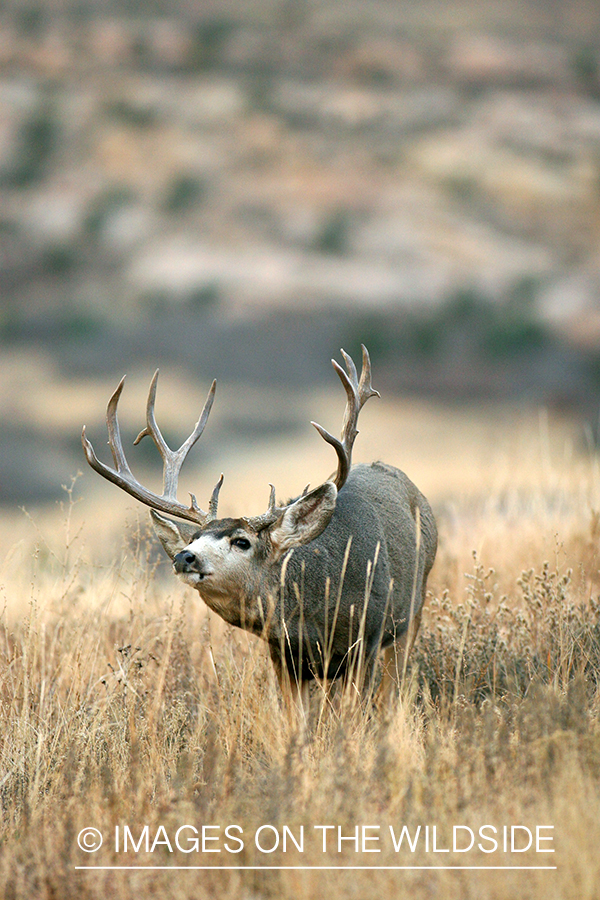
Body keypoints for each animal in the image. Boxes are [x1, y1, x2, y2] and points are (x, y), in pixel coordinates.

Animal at [82, 348, 436, 720]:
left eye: (242, 541)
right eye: (193, 538)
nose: (184, 556)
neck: (314, 618)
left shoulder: (365, 642)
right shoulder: (284, 655)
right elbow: (297, 721)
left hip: (413, 612)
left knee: (393, 690)